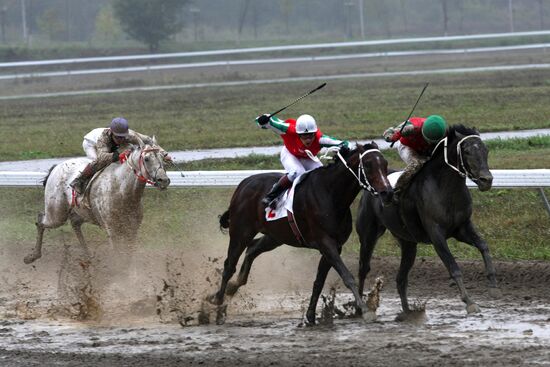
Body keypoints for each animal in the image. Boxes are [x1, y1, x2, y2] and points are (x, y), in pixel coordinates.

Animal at [24, 143, 170, 264]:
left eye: (162, 157)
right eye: (147, 159)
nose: (164, 180)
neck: (123, 192)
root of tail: (56, 167)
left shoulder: (132, 230)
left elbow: (128, 256)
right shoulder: (113, 231)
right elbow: (119, 256)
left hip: (82, 213)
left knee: (75, 224)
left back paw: (88, 256)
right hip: (56, 214)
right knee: (40, 221)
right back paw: (32, 256)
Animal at [209, 144, 394, 324]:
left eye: (385, 164)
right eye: (368, 165)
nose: (387, 193)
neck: (331, 194)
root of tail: (243, 184)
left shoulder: (335, 246)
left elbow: (319, 282)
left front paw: (311, 316)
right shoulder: (326, 243)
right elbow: (347, 276)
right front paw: (365, 310)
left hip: (275, 235)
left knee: (252, 249)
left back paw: (231, 287)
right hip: (241, 232)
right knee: (229, 266)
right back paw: (218, 305)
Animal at [358, 125, 504, 318]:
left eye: (485, 150)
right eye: (466, 151)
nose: (486, 180)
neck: (446, 189)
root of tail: (371, 188)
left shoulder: (462, 228)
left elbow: (484, 246)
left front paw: (494, 287)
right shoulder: (436, 234)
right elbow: (453, 267)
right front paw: (470, 302)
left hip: (408, 243)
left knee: (401, 278)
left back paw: (408, 313)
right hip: (368, 235)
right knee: (363, 269)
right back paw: (360, 308)